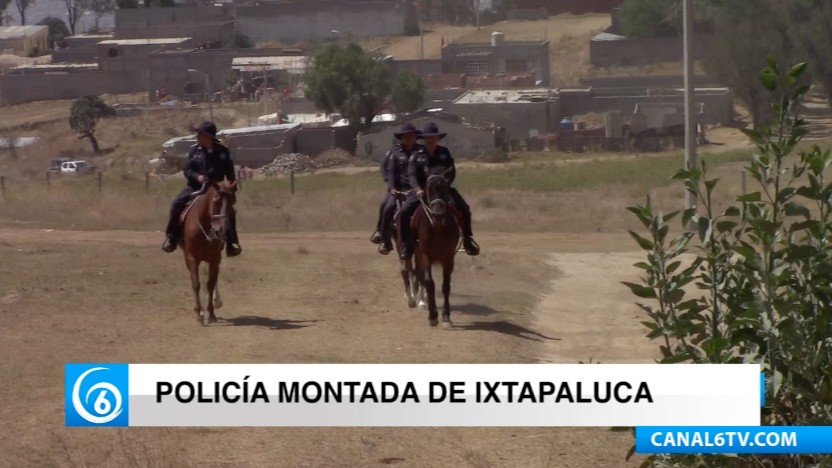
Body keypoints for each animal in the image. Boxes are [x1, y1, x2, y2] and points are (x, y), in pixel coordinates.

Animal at [180, 179, 236, 326]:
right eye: (215, 201)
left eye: (232, 202)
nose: (222, 230)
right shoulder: (192, 257)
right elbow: (196, 284)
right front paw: (198, 314)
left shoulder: (215, 257)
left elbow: (210, 283)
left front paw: (211, 313)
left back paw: (217, 302)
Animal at [412, 174, 462, 328]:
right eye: (429, 189)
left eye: (445, 189)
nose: (438, 214)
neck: (437, 229)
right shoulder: (425, 256)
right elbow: (429, 283)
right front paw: (433, 316)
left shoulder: (448, 258)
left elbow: (446, 286)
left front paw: (446, 316)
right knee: (420, 277)